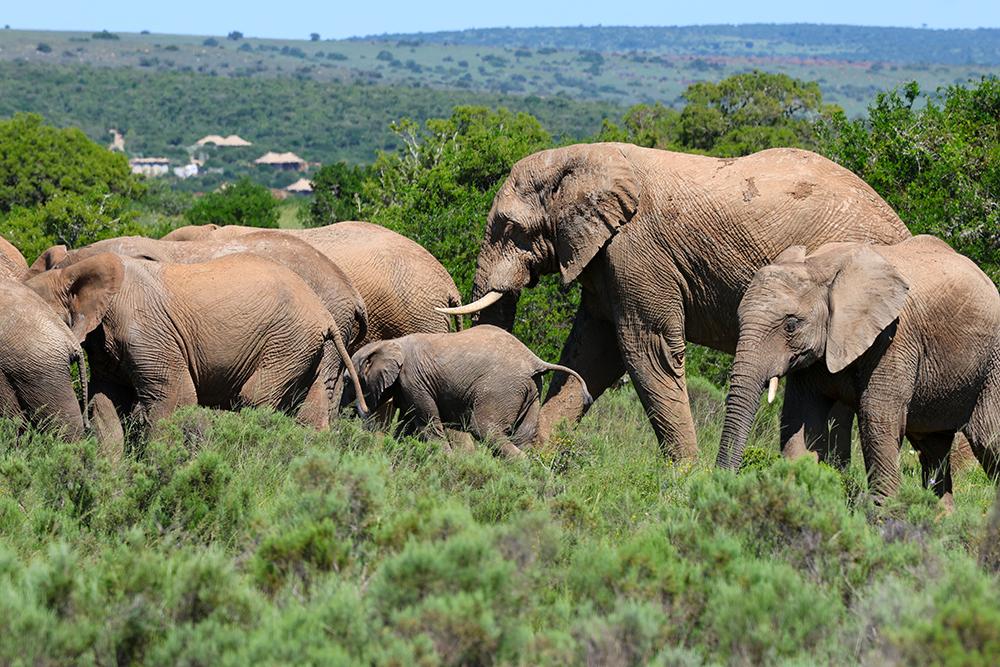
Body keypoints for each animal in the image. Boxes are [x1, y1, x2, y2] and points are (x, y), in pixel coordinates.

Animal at [25, 252, 368, 438]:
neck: (73, 270)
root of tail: (322, 312)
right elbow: (105, 403)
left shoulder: (147, 332)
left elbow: (173, 398)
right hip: (307, 347)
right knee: (310, 409)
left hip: (286, 340)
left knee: (254, 397)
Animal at [342, 325, 592, 458]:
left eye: (346, 380)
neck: (390, 343)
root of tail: (534, 360)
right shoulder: (407, 386)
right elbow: (407, 424)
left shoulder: (413, 380)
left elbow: (427, 423)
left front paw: (447, 459)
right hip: (531, 391)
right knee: (522, 437)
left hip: (500, 389)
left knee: (485, 429)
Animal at [445, 143, 910, 459]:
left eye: (510, 227)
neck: (580, 156)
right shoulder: (605, 260)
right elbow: (592, 353)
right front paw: (543, 453)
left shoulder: (635, 250)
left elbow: (646, 349)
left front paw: (685, 477)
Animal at [715, 235, 1000, 502]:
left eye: (791, 325)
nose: (722, 481)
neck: (819, 266)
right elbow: (800, 417)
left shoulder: (895, 338)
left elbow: (876, 416)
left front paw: (883, 514)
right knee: (933, 449)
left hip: (992, 364)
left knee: (989, 440)